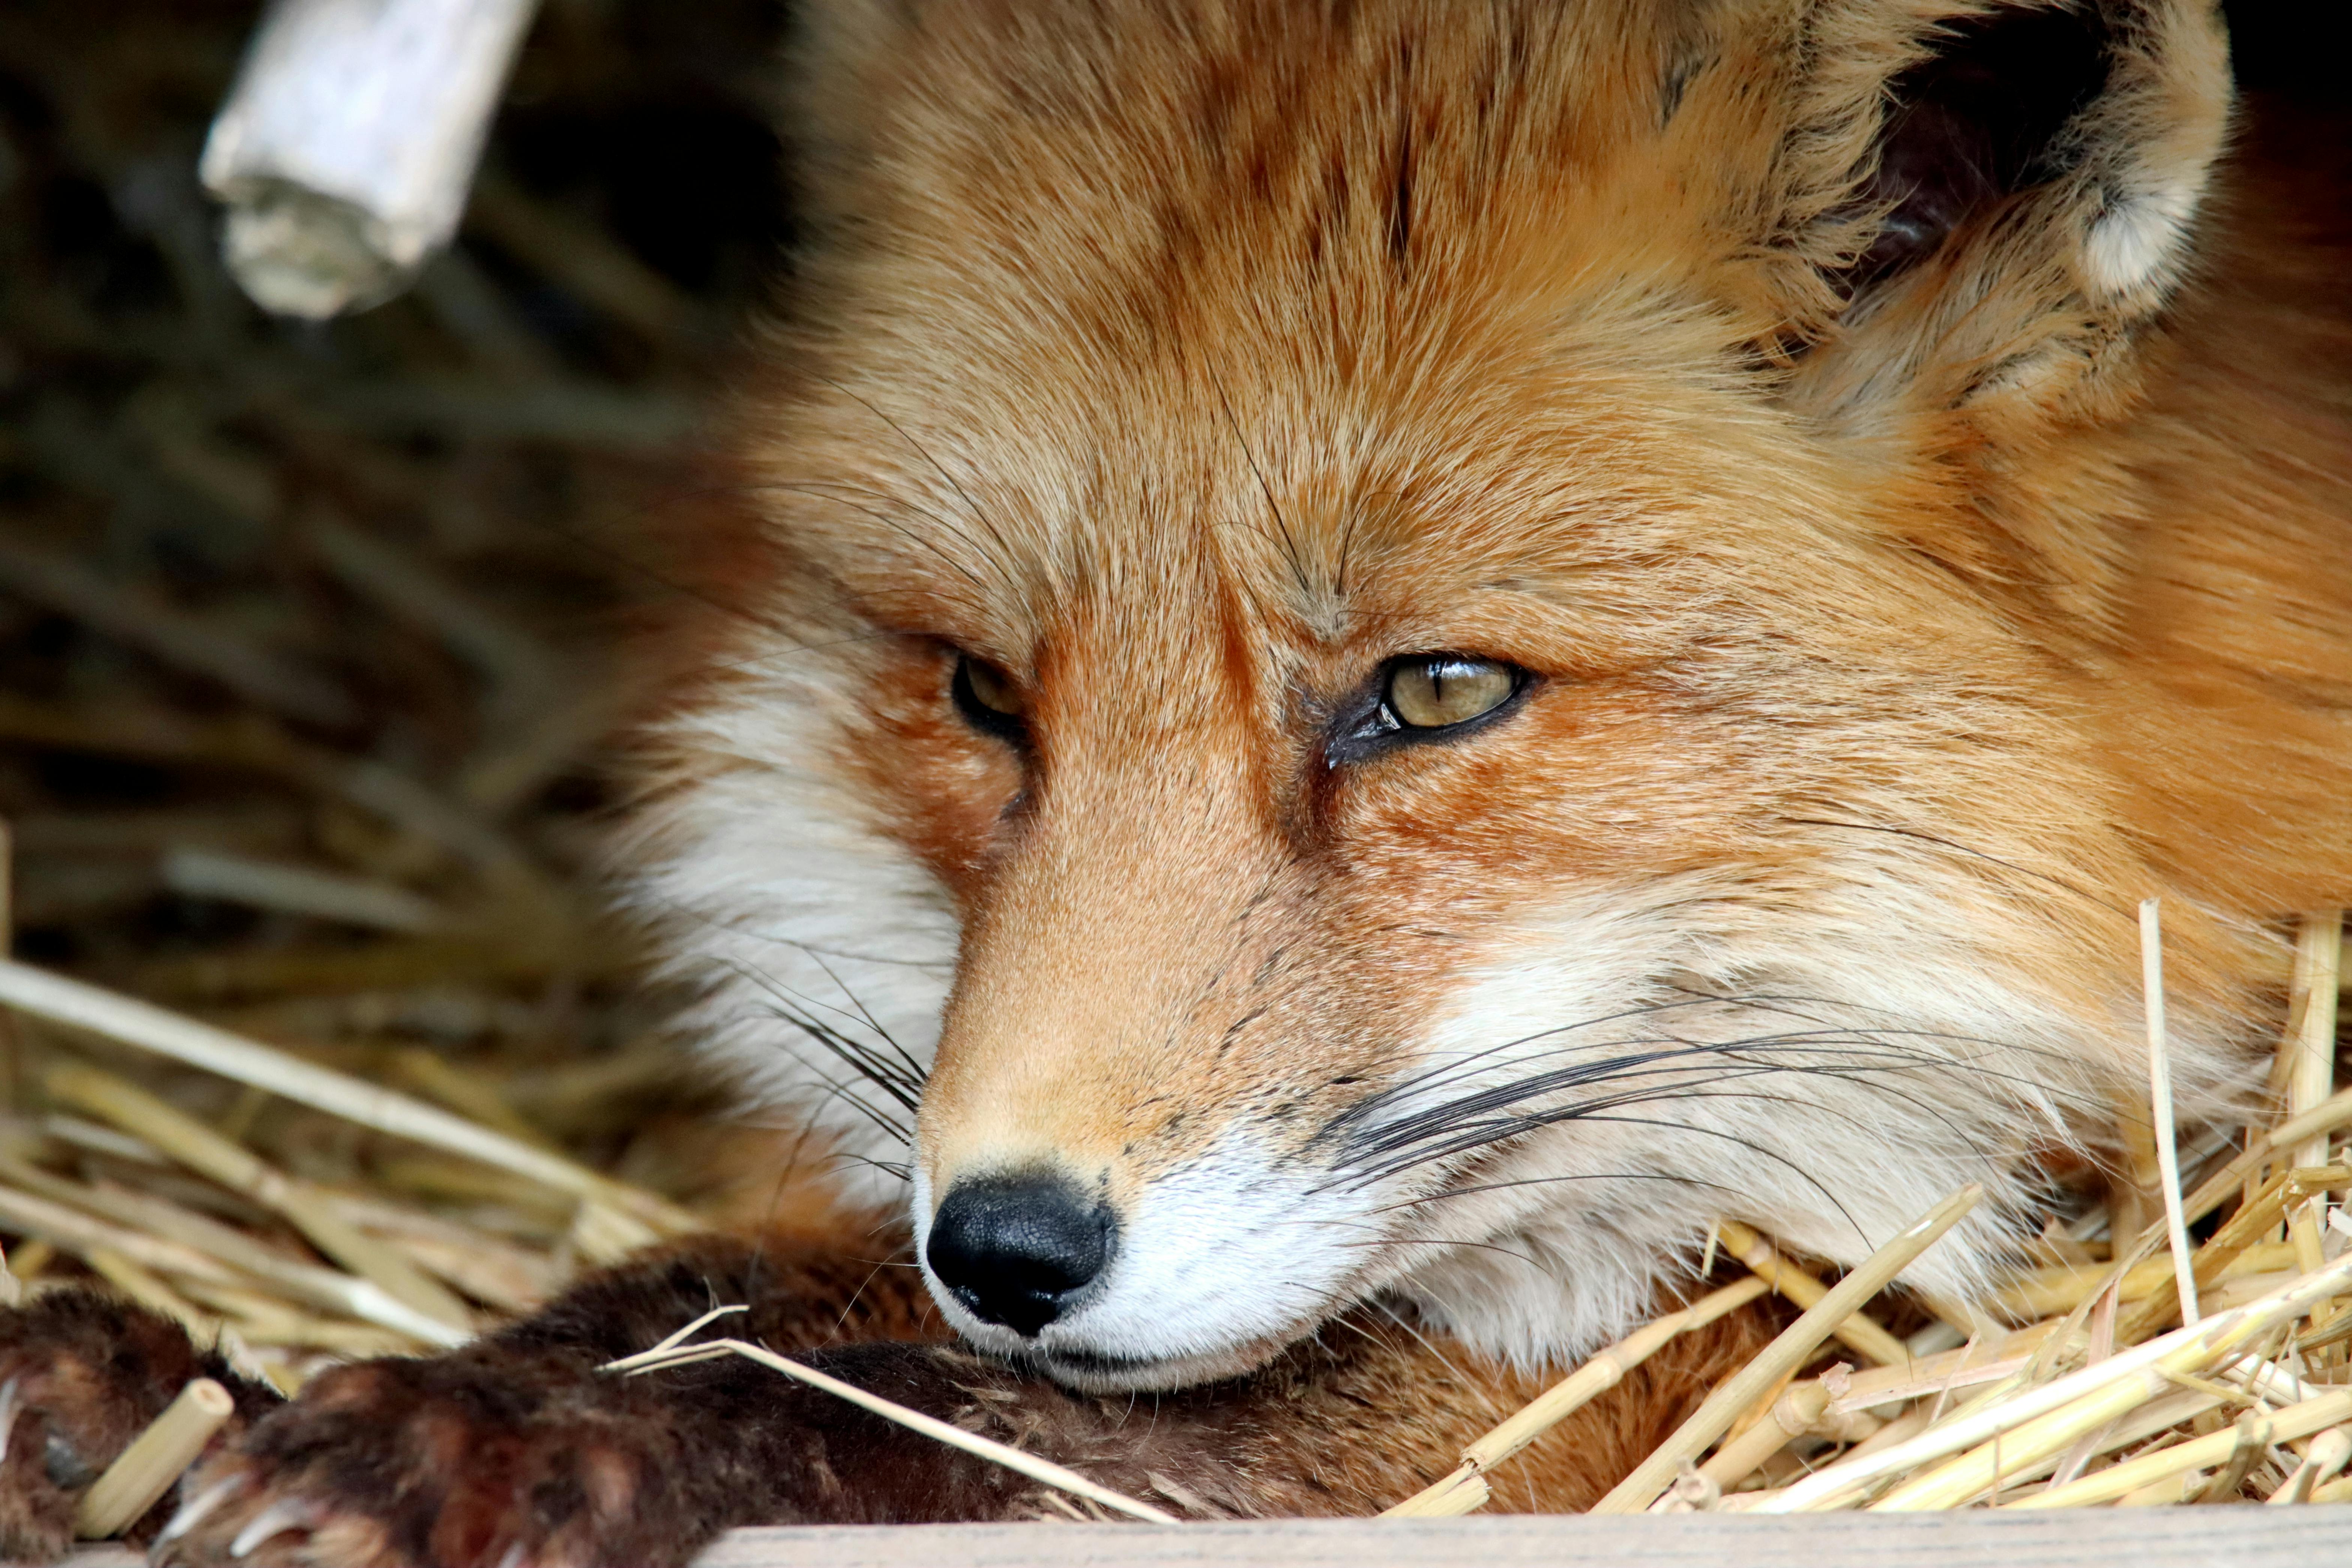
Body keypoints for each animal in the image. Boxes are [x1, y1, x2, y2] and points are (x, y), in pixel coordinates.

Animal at [4, 0, 2350, 1561]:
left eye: (1432, 691)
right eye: (980, 691)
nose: (1006, 1241)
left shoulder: (1677, 1353)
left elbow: (907, 1391)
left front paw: (462, 1436)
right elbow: (717, 1292)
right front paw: (177, 1387)